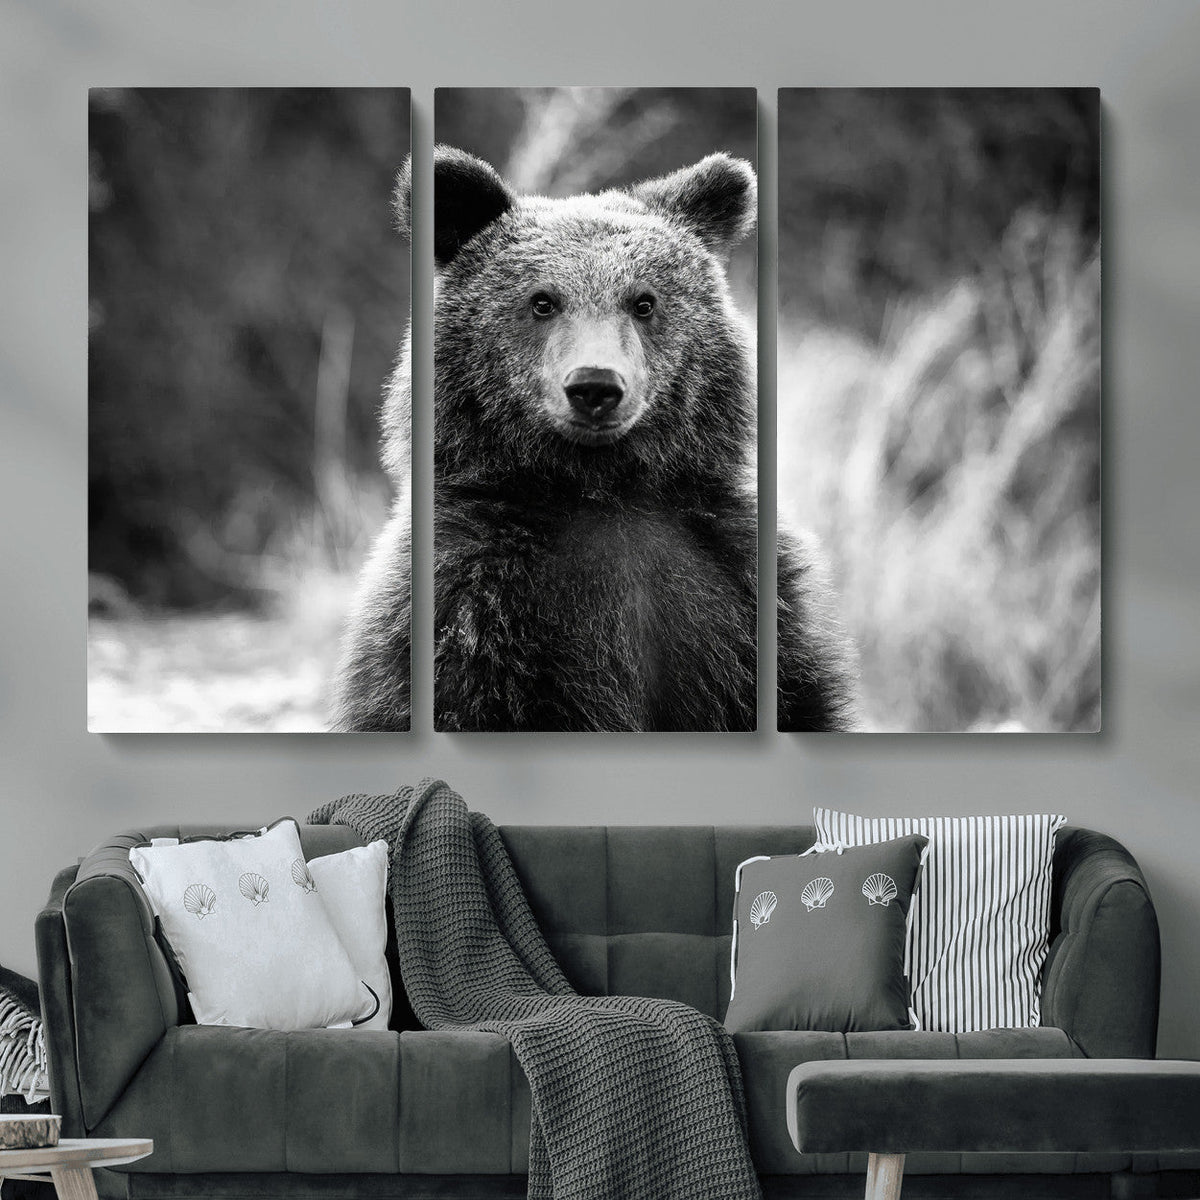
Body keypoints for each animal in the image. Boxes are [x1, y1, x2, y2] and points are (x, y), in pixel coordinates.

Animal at [333, 146, 855, 732]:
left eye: (643, 301)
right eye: (542, 301)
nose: (595, 386)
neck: (600, 487)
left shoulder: (738, 589)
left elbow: (798, 698)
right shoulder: (470, 603)